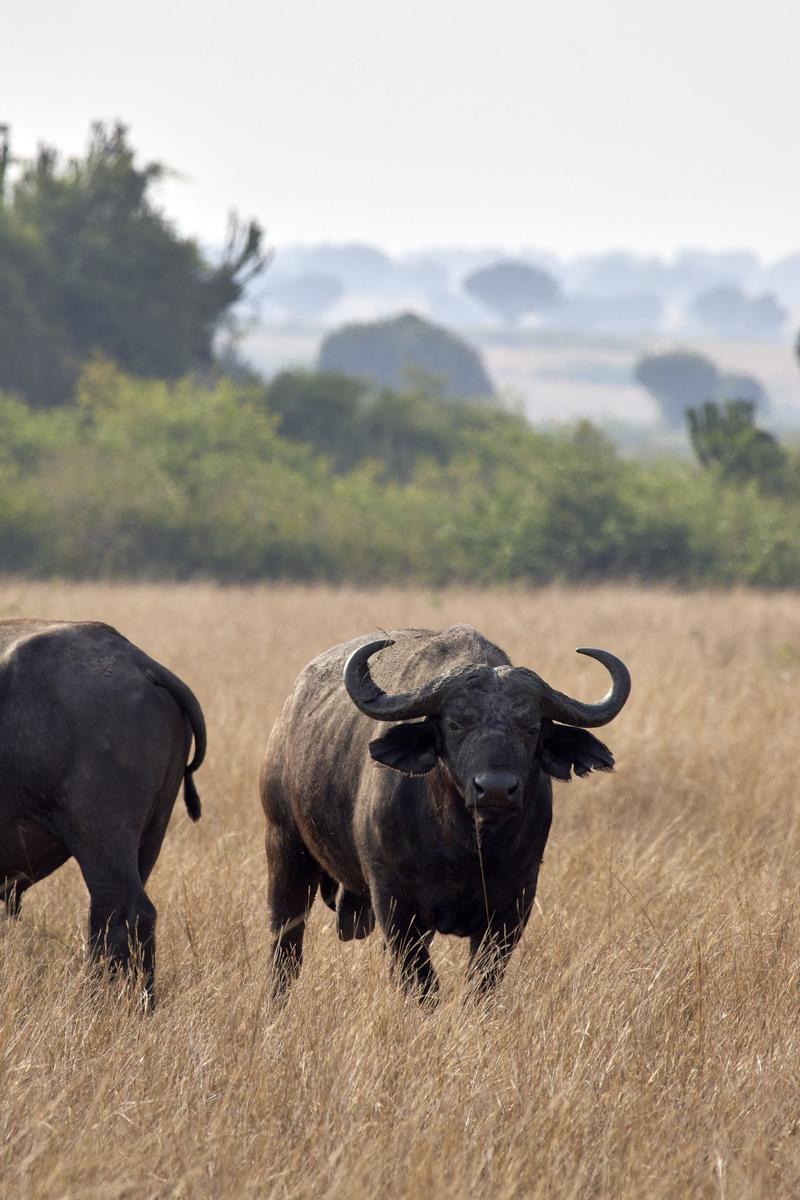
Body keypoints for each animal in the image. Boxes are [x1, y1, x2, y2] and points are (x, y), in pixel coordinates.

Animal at [260, 624, 628, 998]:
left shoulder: (513, 905)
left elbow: (482, 983)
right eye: (455, 723)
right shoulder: (394, 903)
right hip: (285, 849)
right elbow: (423, 984)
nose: (495, 789)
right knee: (286, 947)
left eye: (531, 727)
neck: (464, 845)